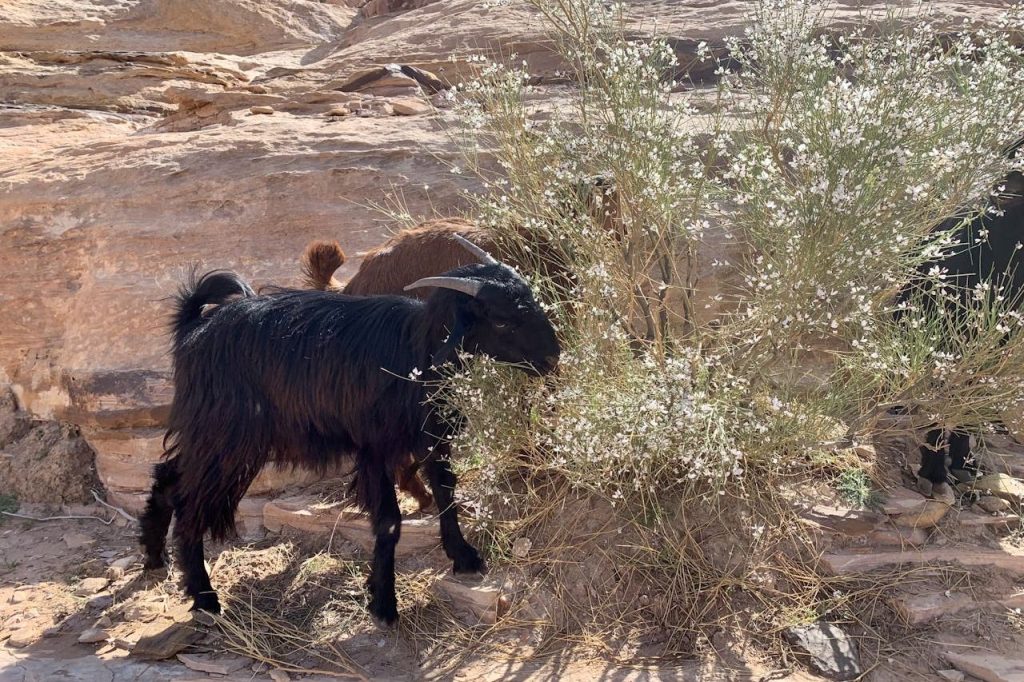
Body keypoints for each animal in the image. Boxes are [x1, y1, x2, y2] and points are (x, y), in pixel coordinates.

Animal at [139, 237, 560, 625]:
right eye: (502, 320)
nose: (552, 358)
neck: (413, 351)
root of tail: (194, 328)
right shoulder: (375, 447)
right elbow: (389, 521)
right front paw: (384, 603)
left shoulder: (432, 437)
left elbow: (446, 491)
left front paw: (464, 556)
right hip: (228, 437)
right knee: (189, 503)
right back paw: (204, 597)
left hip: (214, 436)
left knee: (169, 478)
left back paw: (154, 556)